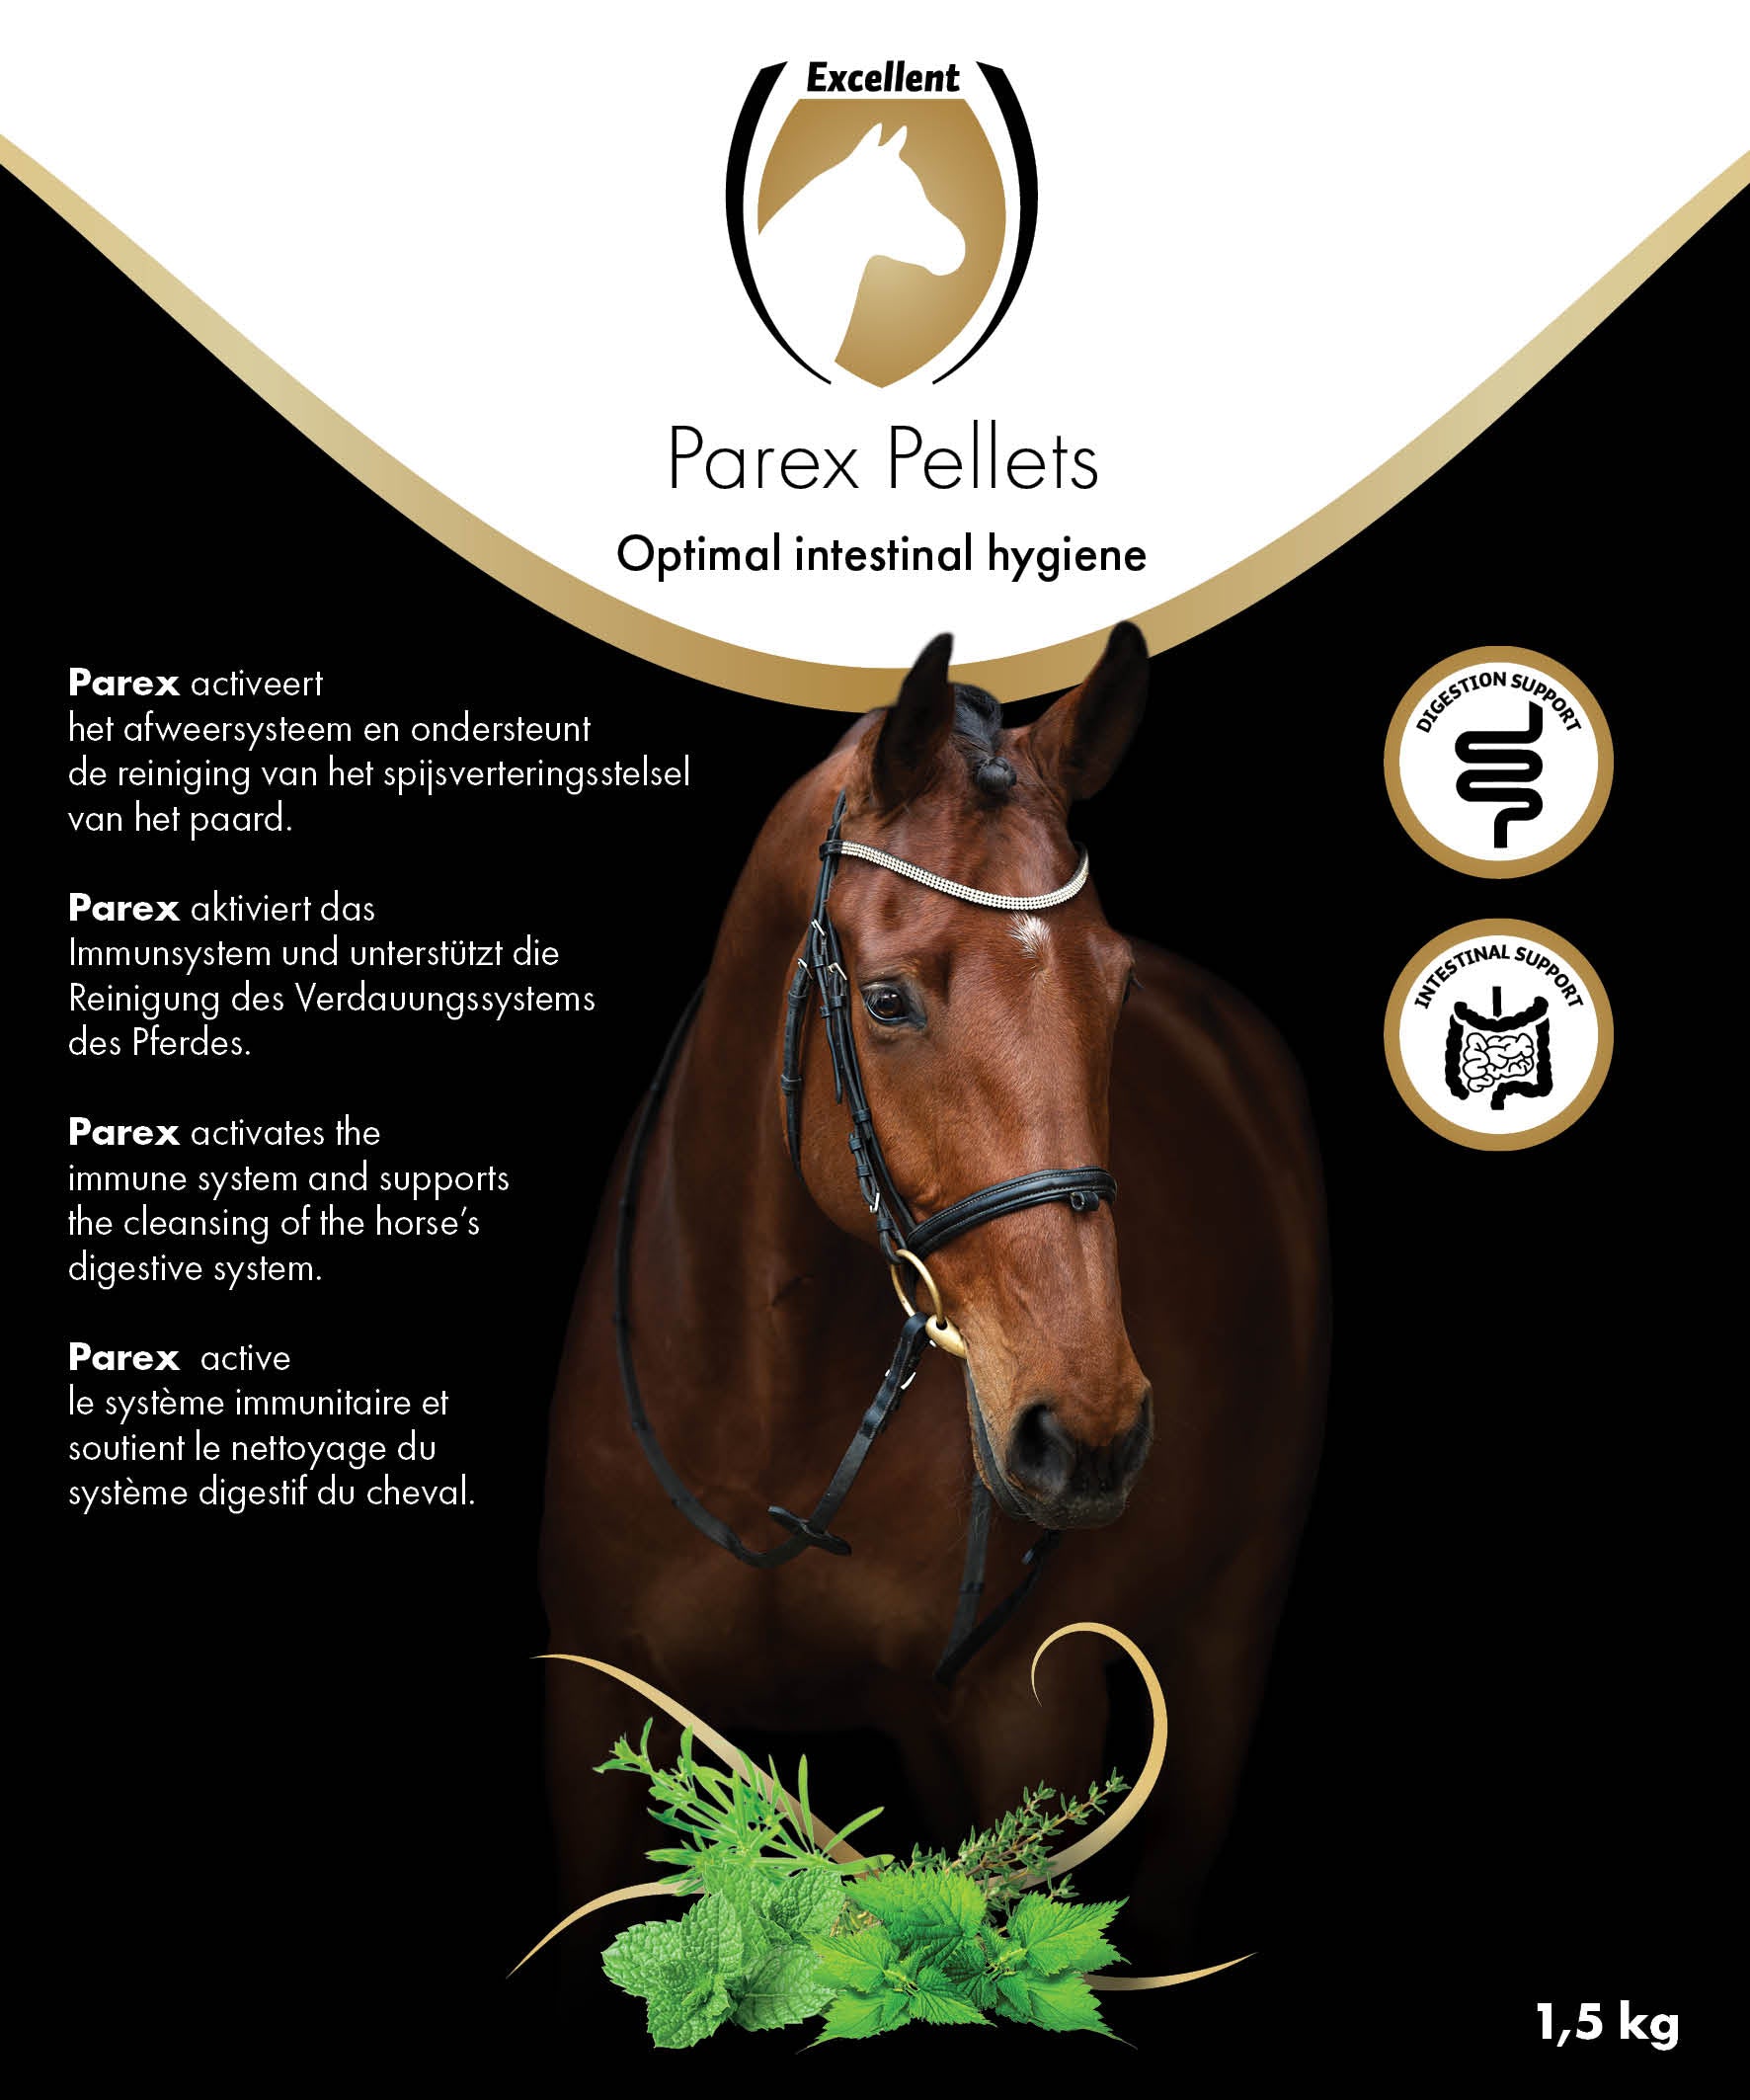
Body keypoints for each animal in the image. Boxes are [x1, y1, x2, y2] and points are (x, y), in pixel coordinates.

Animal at [540, 625, 1328, 1965]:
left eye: (1114, 992)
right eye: (888, 997)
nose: (1087, 1432)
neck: (766, 1417)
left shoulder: (1026, 1724)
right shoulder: (592, 1702)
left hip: (1224, 1636)